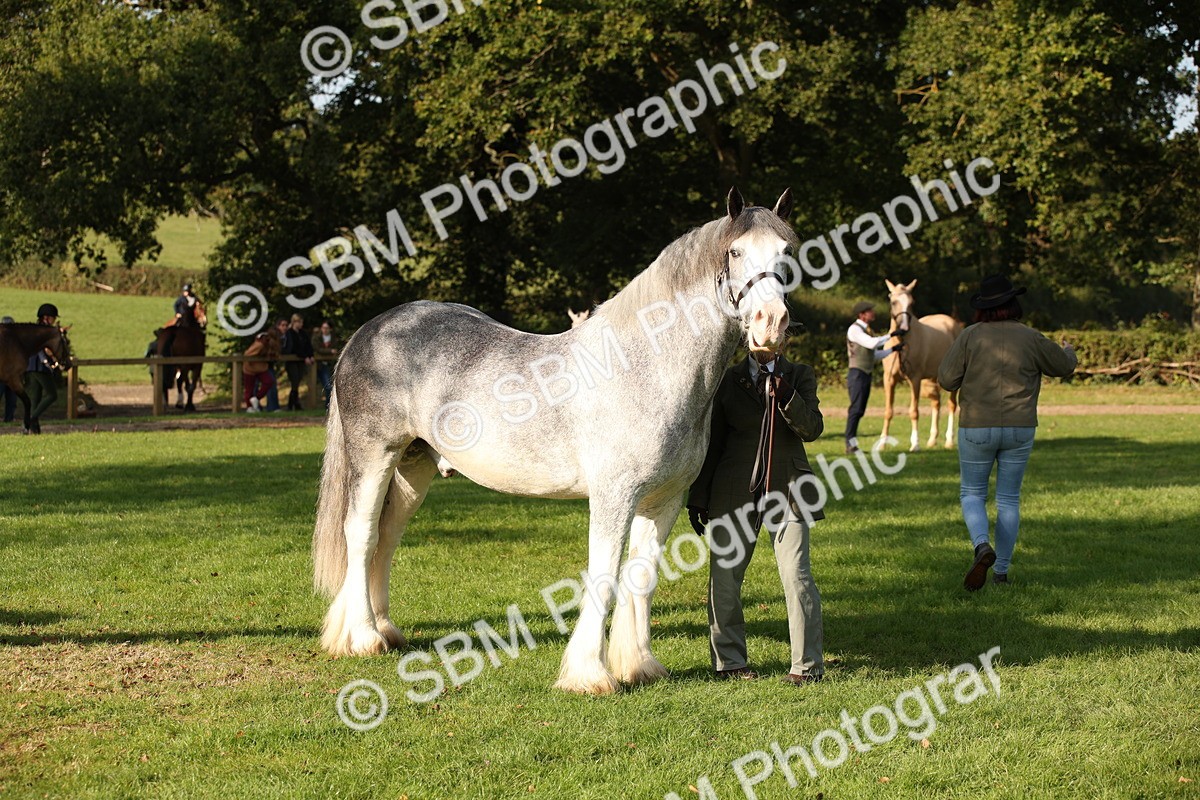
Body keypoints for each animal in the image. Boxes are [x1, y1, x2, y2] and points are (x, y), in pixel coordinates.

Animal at [312, 187, 798, 696]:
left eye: (786, 252)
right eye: (735, 252)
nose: (771, 324)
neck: (645, 366)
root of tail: (367, 333)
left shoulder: (664, 500)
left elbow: (641, 574)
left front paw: (639, 665)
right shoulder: (614, 496)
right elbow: (604, 572)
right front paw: (589, 674)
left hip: (414, 466)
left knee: (387, 536)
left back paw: (383, 629)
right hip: (375, 457)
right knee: (362, 534)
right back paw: (363, 637)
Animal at [879, 279, 963, 451]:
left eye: (912, 302)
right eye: (893, 301)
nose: (904, 328)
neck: (901, 345)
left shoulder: (915, 380)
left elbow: (914, 411)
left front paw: (915, 444)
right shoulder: (889, 380)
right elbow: (888, 411)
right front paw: (882, 443)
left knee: (951, 405)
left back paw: (949, 441)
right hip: (932, 378)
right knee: (936, 403)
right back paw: (932, 440)